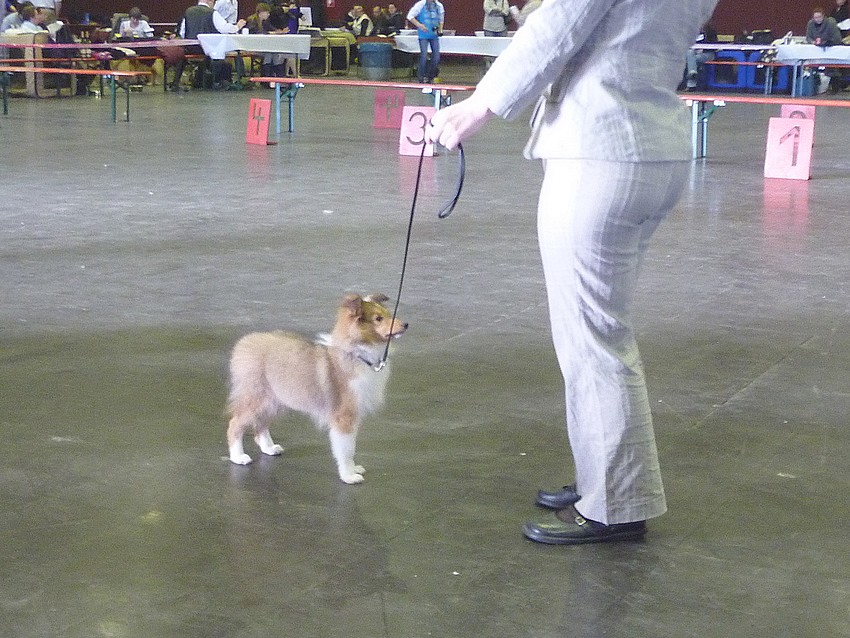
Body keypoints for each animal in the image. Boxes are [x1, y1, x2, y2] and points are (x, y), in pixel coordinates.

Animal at [225, 296, 408, 484]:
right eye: (378, 318)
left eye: (388, 314)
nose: (406, 324)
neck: (356, 354)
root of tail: (244, 343)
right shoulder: (344, 417)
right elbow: (347, 450)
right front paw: (349, 476)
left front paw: (354, 469)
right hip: (256, 398)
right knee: (234, 424)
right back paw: (238, 457)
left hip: (275, 400)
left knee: (260, 425)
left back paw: (269, 448)